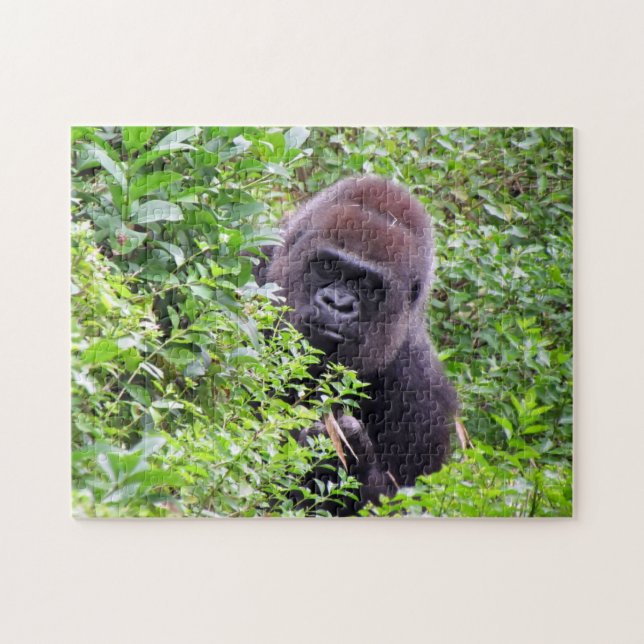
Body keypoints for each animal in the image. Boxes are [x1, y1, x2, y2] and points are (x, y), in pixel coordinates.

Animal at [260, 175, 458, 514]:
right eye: (328, 266)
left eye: (368, 285)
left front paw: (347, 448)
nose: (338, 304)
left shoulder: (423, 391)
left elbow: (404, 503)